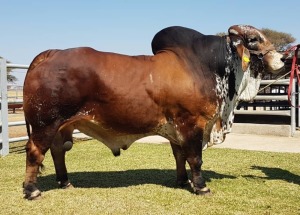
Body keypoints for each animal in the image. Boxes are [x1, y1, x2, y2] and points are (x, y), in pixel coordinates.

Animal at [22, 25, 284, 200]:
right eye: (253, 39)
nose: (282, 58)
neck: (208, 66)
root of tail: (50, 53)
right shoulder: (192, 123)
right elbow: (195, 158)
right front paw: (201, 186)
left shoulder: (177, 128)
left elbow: (180, 156)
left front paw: (182, 181)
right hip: (45, 124)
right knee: (35, 152)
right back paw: (32, 190)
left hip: (61, 126)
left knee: (57, 151)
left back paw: (65, 182)